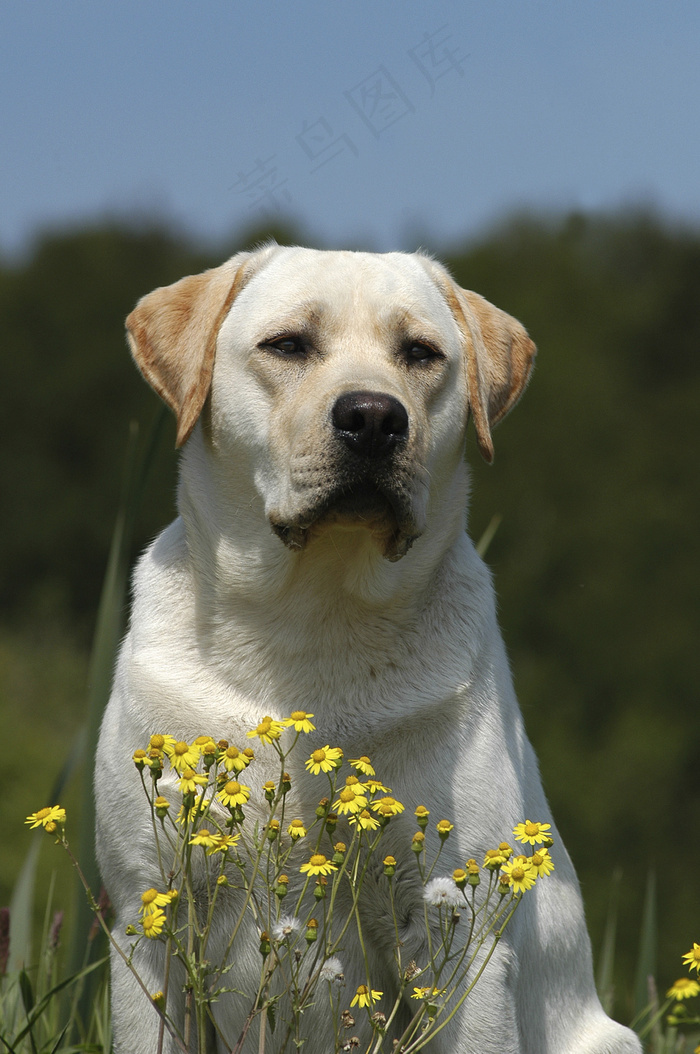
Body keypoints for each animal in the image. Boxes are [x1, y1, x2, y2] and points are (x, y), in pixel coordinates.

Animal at [95, 246, 640, 1054]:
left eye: (421, 354)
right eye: (289, 345)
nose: (375, 417)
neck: (315, 623)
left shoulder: (460, 928)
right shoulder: (147, 916)